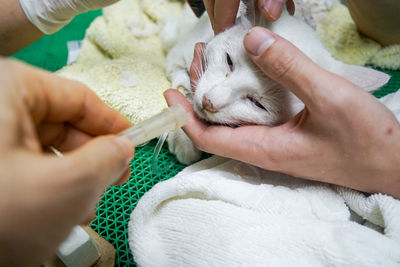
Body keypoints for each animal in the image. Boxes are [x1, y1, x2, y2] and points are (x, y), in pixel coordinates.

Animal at [166, 0, 390, 165]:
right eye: (229, 61)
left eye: (258, 104)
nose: (208, 102)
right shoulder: (177, 56)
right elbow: (179, 80)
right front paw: (182, 137)